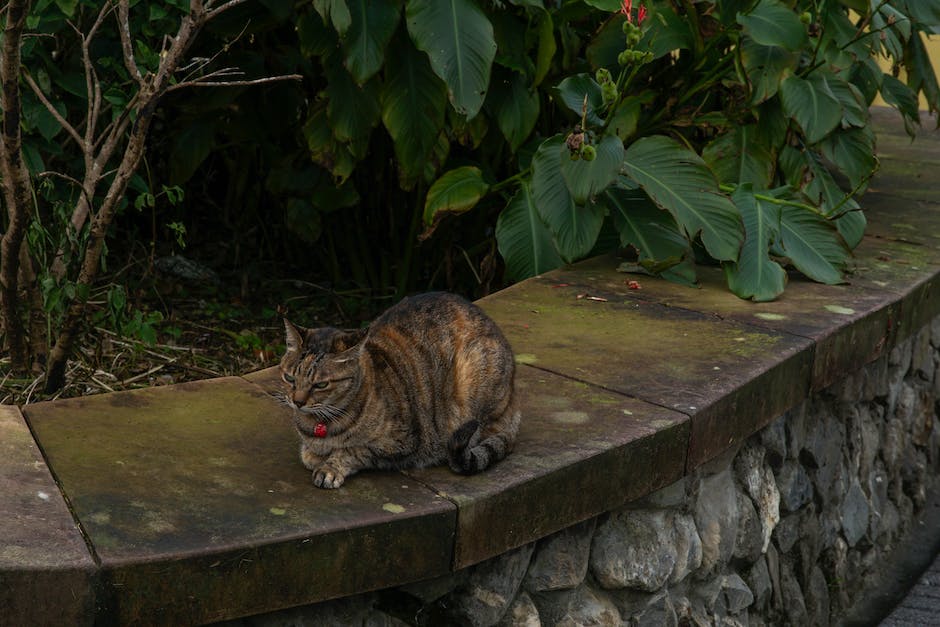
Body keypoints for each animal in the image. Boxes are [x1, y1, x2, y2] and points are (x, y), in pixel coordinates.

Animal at [278, 292, 520, 488]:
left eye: (321, 384)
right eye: (289, 378)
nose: (297, 401)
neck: (321, 424)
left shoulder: (402, 443)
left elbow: (354, 450)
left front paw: (330, 467)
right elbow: (308, 454)